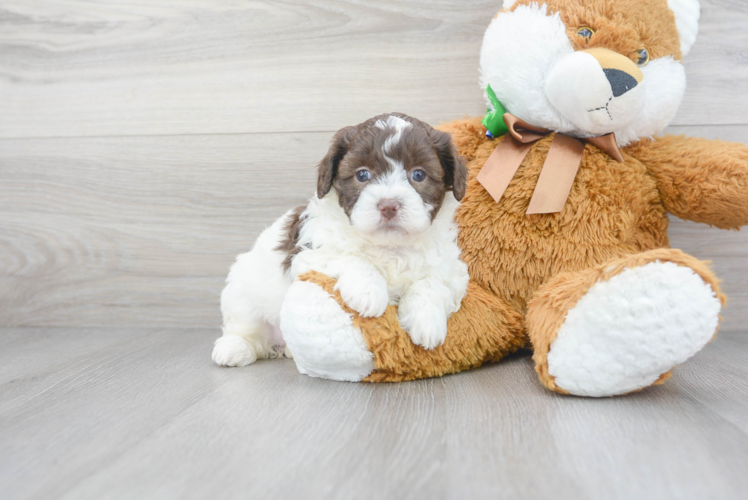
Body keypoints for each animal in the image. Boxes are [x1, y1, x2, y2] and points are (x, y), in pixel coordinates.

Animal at [212, 112, 468, 368]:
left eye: (419, 175)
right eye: (362, 175)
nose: (388, 206)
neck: (389, 246)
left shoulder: (452, 270)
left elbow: (432, 282)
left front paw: (427, 321)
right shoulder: (310, 254)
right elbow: (350, 258)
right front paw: (369, 292)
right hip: (241, 293)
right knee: (245, 329)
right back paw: (234, 348)